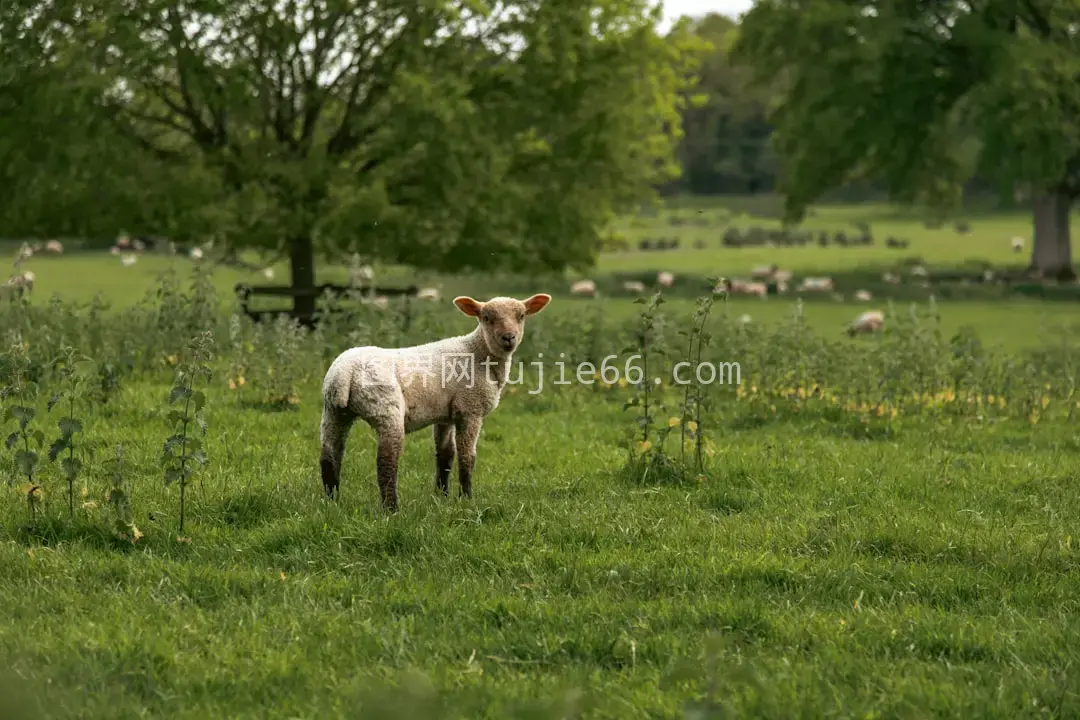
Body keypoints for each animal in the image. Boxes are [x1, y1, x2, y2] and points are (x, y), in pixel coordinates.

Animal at [315, 289, 552, 509]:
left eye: (521, 316)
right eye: (486, 318)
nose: (509, 337)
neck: (478, 353)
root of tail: (344, 373)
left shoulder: (445, 414)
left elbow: (445, 455)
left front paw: (442, 497)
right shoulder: (470, 409)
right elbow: (467, 457)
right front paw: (466, 499)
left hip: (334, 411)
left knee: (329, 455)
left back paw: (332, 502)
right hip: (385, 407)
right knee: (386, 461)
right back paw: (392, 509)